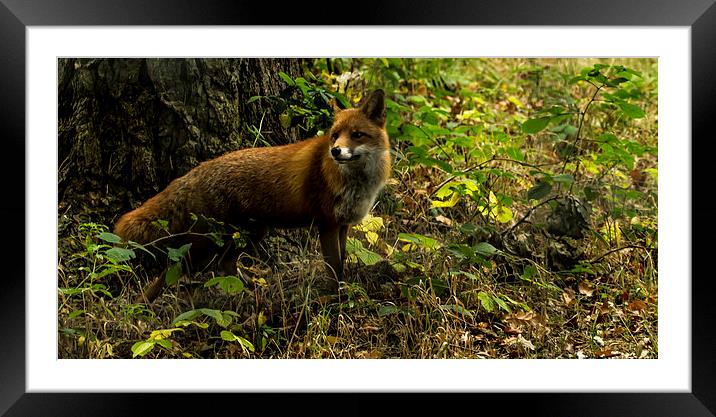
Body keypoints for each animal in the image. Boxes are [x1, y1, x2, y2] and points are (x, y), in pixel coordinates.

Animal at [114, 89, 392, 300]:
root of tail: (196, 171)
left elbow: (342, 264)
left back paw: (248, 290)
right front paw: (336, 300)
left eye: (356, 135)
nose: (335, 151)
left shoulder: (342, 225)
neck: (356, 182)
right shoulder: (327, 225)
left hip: (251, 233)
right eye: (335, 136)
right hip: (207, 241)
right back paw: (140, 306)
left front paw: (343, 292)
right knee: (173, 270)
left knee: (224, 265)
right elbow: (334, 268)